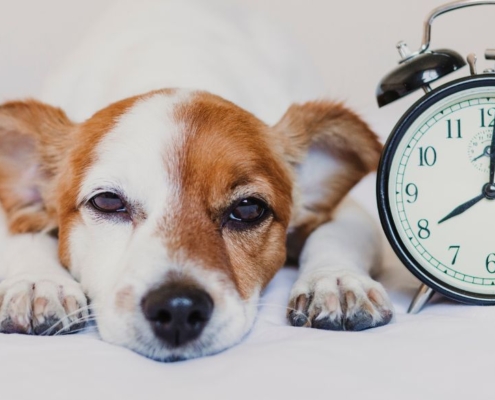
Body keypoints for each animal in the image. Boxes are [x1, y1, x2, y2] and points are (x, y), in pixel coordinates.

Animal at [0, 0, 396, 362]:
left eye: (249, 209)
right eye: (108, 201)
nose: (177, 308)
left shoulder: (351, 211)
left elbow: (333, 235)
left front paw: (335, 280)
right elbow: (24, 237)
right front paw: (39, 283)